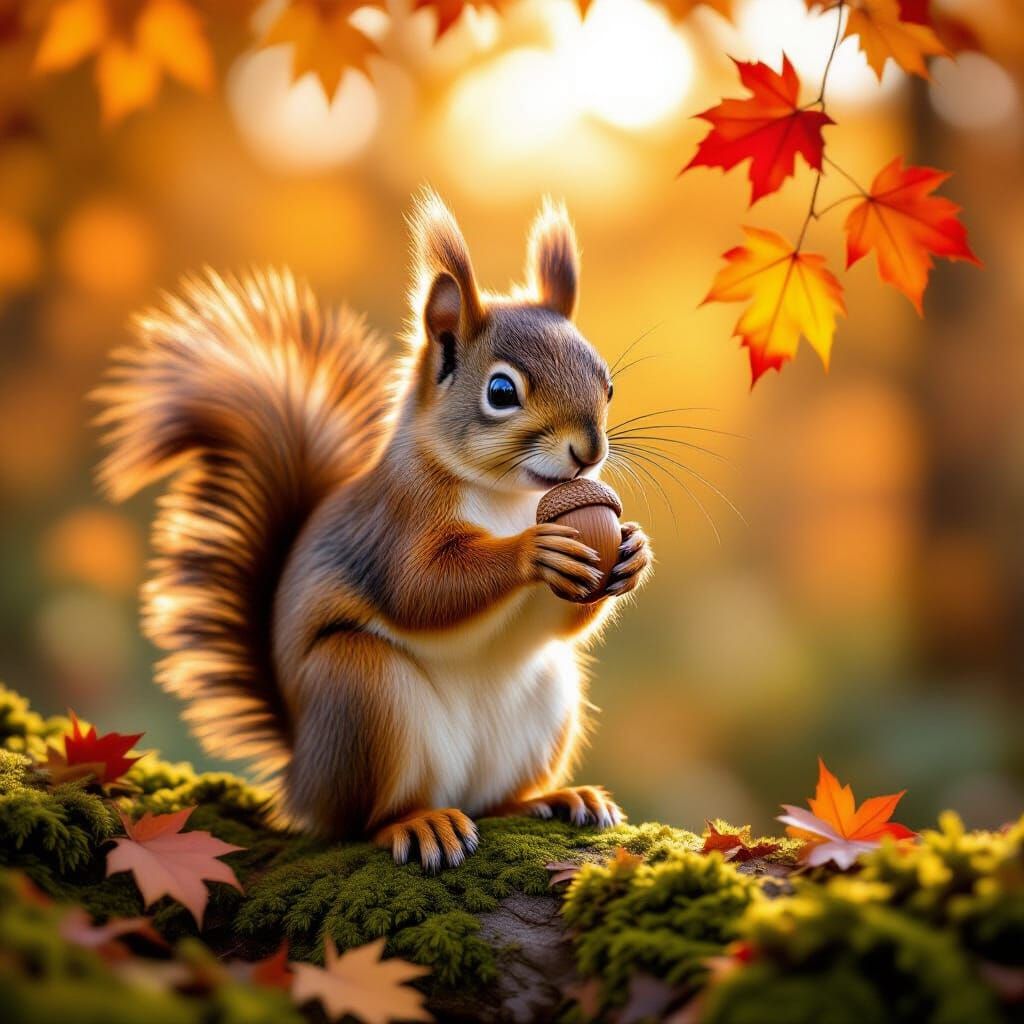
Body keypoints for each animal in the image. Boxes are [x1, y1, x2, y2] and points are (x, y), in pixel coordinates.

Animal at [95, 191, 652, 869]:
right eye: (501, 391)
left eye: (608, 383)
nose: (588, 452)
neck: (509, 497)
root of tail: (302, 777)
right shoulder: (394, 525)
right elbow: (421, 590)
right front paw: (532, 551)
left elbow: (559, 619)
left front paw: (632, 552)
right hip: (359, 691)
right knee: (364, 819)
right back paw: (417, 824)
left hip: (548, 698)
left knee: (496, 799)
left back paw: (554, 797)